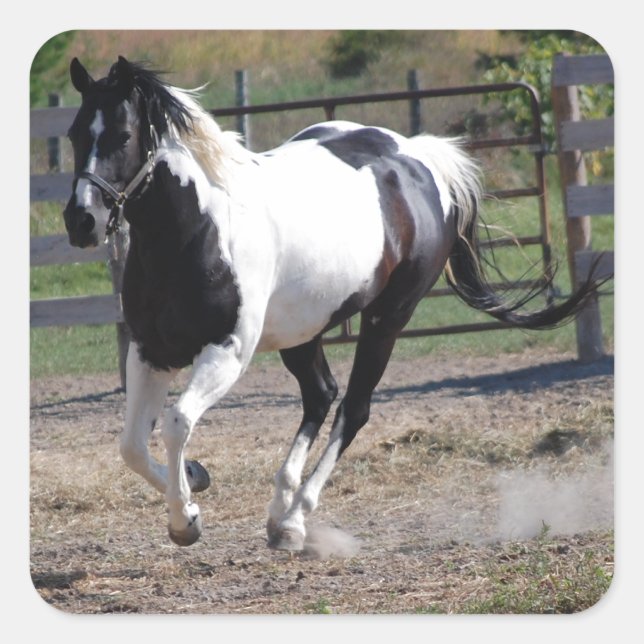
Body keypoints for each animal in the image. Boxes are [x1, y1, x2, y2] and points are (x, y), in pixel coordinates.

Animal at [63, 56, 597, 549]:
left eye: (123, 135)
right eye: (72, 134)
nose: (81, 221)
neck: (197, 231)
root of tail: (417, 157)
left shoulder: (227, 351)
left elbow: (175, 424)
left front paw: (186, 521)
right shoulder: (150, 350)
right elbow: (131, 446)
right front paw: (195, 480)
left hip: (387, 318)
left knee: (353, 407)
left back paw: (295, 521)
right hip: (305, 328)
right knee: (321, 393)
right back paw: (279, 510)